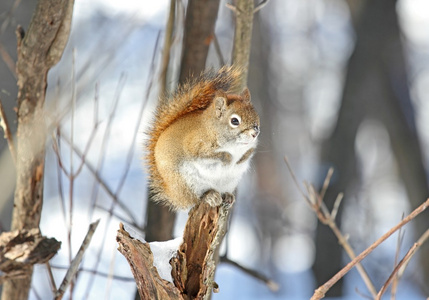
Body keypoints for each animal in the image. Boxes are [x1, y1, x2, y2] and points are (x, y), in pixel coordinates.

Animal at [145, 67, 260, 210]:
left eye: (256, 115)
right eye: (234, 121)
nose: (255, 133)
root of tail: (172, 193)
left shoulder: (250, 147)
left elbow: (249, 153)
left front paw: (241, 159)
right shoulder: (195, 144)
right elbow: (209, 154)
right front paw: (228, 158)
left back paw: (228, 196)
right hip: (185, 184)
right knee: (195, 199)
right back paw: (210, 196)